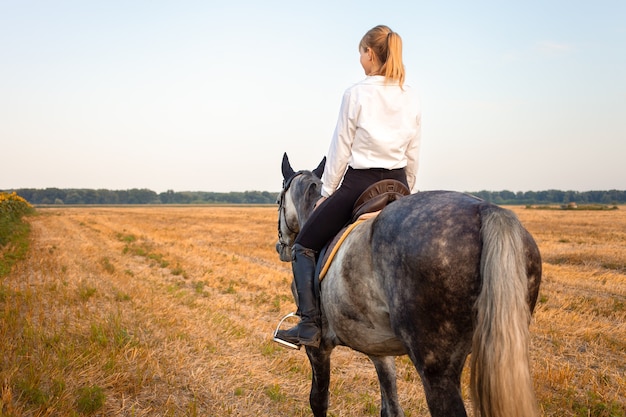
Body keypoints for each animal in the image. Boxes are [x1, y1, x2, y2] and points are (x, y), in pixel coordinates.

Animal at [274, 153, 540, 416]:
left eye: (278, 200)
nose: (281, 247)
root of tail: (485, 209)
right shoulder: (378, 348)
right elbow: (391, 407)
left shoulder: (319, 347)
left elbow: (318, 400)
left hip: (436, 370)